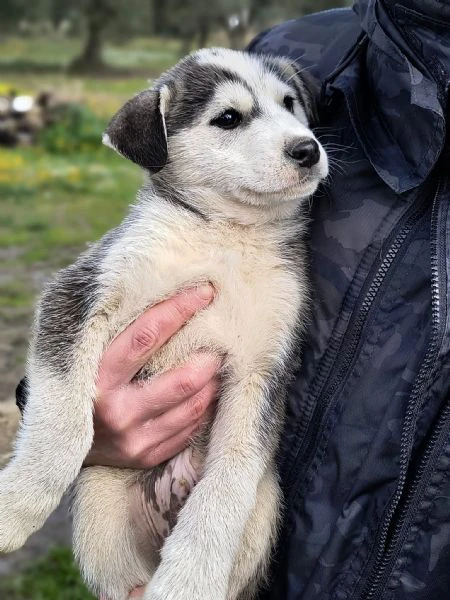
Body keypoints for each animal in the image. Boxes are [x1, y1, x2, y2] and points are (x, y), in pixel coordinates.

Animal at [0, 48, 330, 600]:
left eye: (289, 103)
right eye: (228, 118)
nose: (307, 149)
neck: (224, 241)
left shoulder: (264, 368)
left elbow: (227, 483)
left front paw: (189, 578)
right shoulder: (79, 292)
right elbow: (63, 426)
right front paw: (17, 504)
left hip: (265, 509)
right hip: (98, 513)